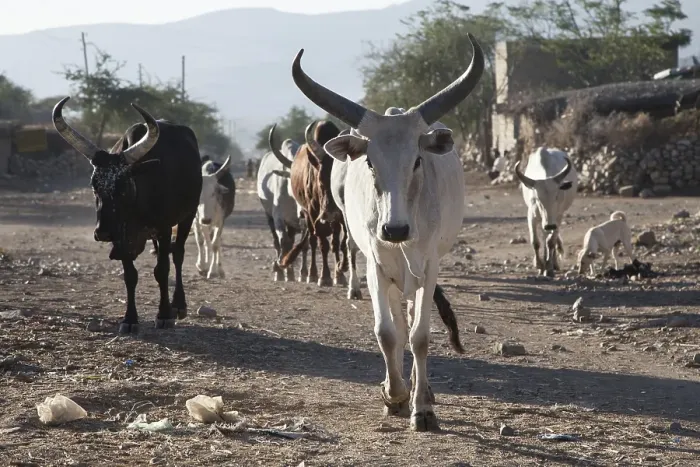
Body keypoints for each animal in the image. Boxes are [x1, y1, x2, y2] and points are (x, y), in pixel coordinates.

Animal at [52, 96, 202, 334]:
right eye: (94, 185)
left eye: (122, 186)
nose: (102, 232)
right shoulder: (121, 237)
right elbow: (130, 276)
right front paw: (130, 318)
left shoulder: (163, 228)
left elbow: (162, 270)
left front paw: (164, 315)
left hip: (188, 216)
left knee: (177, 255)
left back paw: (178, 304)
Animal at [257, 129, 306, 282]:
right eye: (294, 179)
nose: (304, 210)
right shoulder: (278, 217)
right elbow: (283, 241)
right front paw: (278, 267)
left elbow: (299, 244)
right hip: (269, 216)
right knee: (277, 241)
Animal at [273, 120, 349, 288]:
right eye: (320, 180)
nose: (330, 213)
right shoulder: (314, 214)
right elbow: (323, 245)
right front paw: (325, 276)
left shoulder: (341, 215)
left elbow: (340, 242)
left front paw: (341, 270)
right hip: (308, 215)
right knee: (313, 242)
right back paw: (312, 274)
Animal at [288, 32, 484, 431]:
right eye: (370, 162)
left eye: (418, 160)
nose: (394, 229)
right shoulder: (376, 267)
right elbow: (386, 333)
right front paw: (394, 395)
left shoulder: (428, 267)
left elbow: (420, 336)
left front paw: (422, 408)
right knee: (396, 322)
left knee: (410, 322)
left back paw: (422, 391)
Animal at [514, 146, 578, 277]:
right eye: (537, 198)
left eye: (557, 196)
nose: (550, 225)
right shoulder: (532, 216)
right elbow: (535, 242)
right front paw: (539, 265)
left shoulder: (558, 217)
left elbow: (551, 242)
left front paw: (548, 268)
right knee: (544, 236)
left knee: (549, 239)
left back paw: (554, 264)